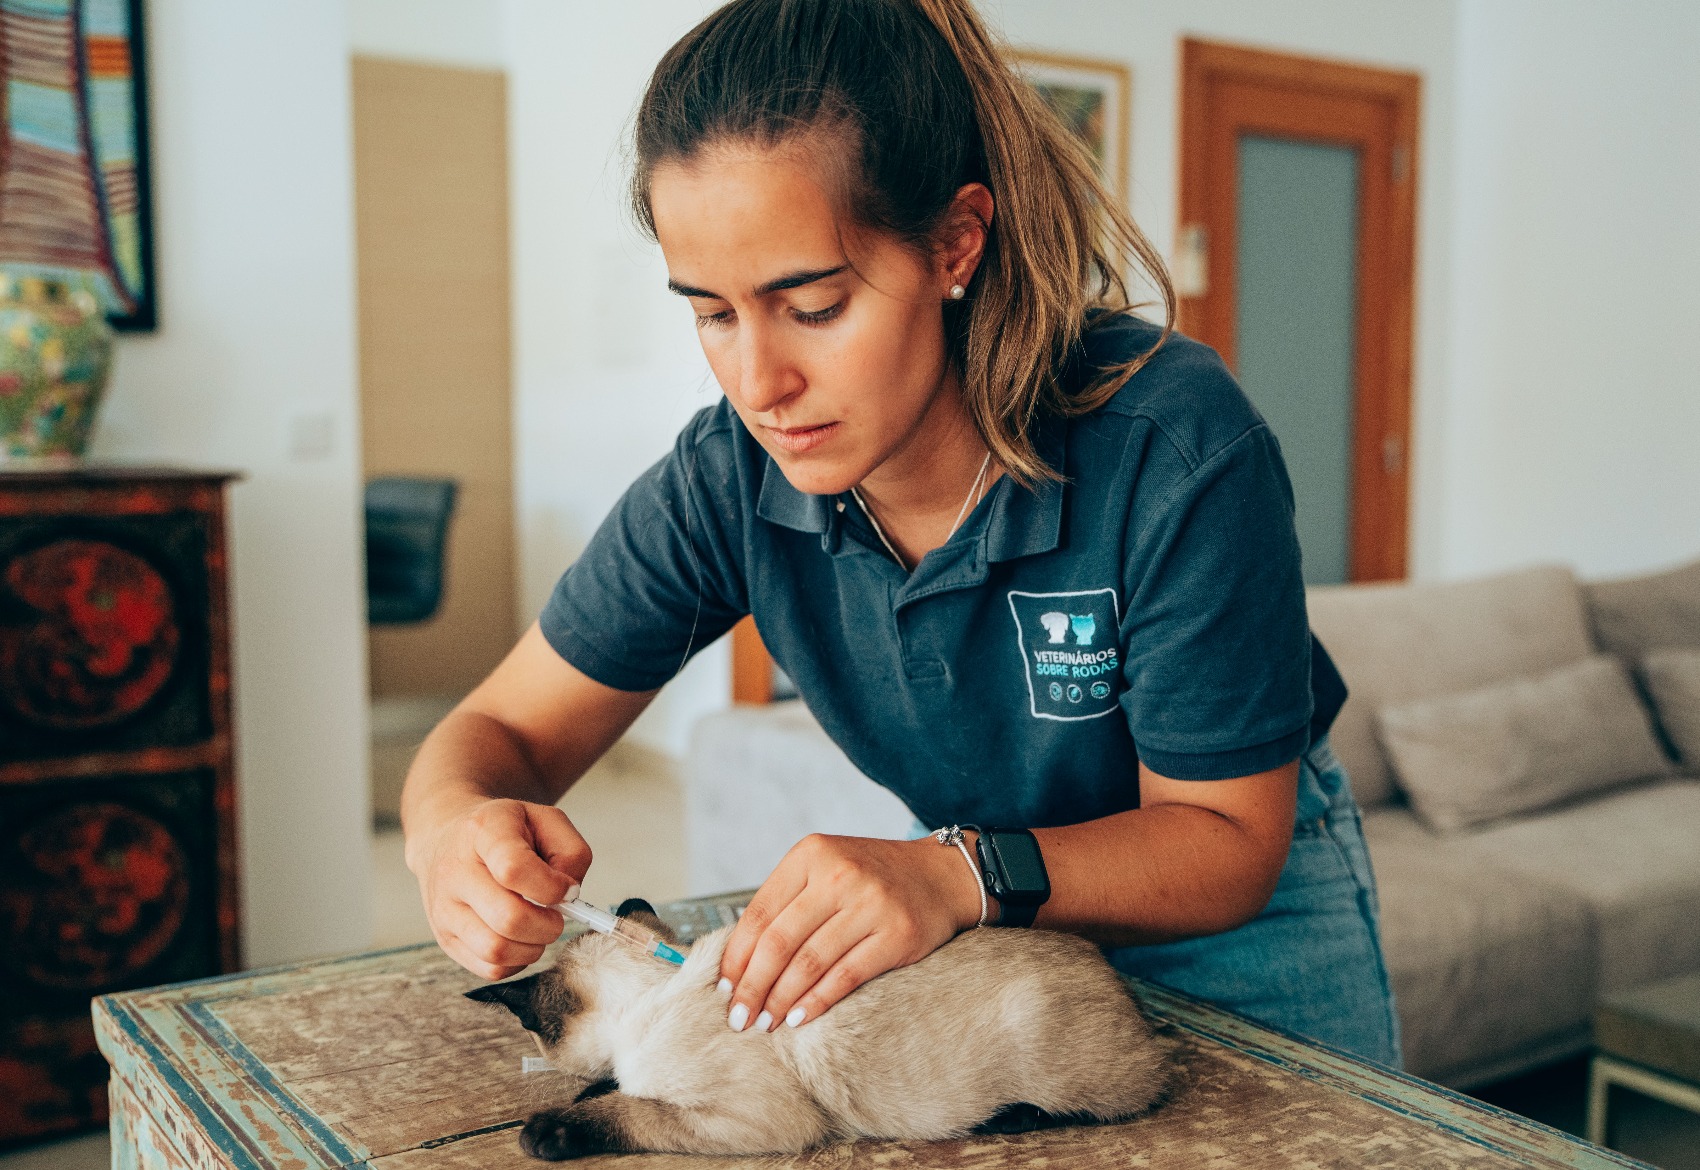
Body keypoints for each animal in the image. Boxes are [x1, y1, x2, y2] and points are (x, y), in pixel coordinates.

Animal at [462, 897, 1169, 1156]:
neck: (659, 986)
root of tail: (1115, 979)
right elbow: (611, 1089)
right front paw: (590, 1089)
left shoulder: (753, 1122)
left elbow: (630, 1110)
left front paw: (546, 1133)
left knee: (1122, 1100)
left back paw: (1006, 1119)